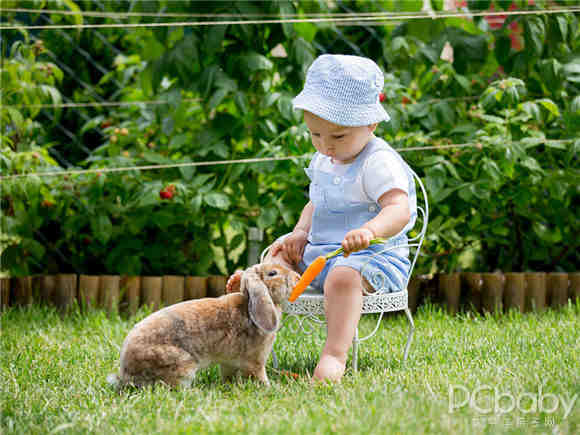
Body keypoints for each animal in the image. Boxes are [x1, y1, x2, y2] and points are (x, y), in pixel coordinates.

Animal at [107, 264, 300, 390]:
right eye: (272, 273)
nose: (297, 277)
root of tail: (126, 374)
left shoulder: (229, 362)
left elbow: (228, 374)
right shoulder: (256, 361)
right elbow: (258, 375)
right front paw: (269, 387)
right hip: (182, 364)